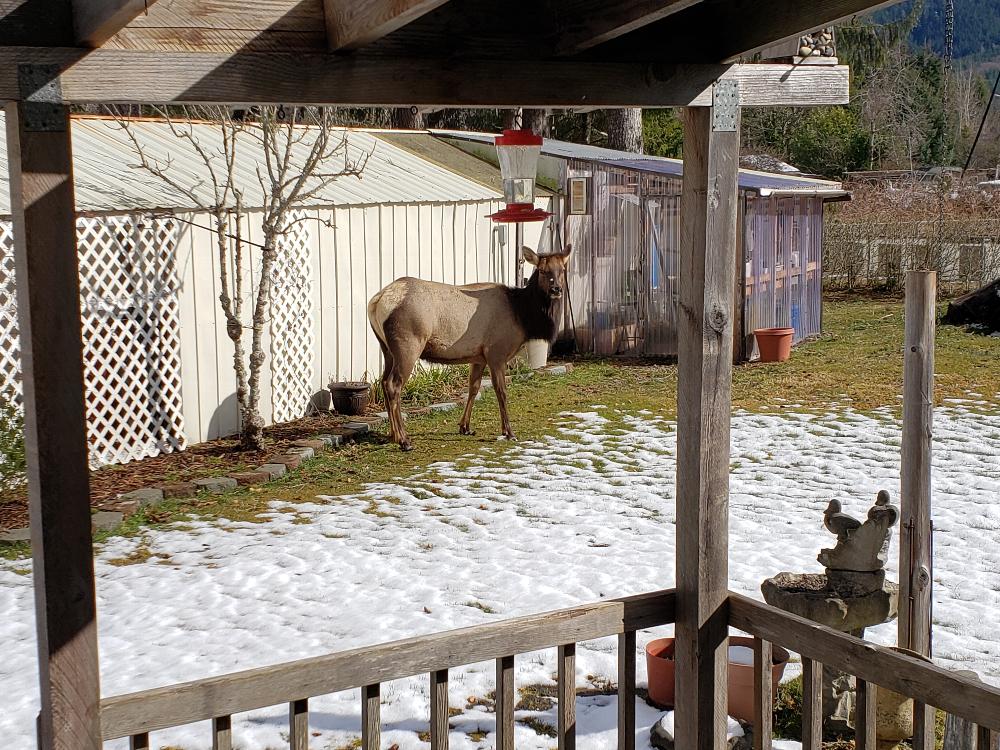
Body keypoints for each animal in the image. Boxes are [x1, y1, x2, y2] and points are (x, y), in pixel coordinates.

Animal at [368, 245, 572, 452]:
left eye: (562, 269)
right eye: (542, 271)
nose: (556, 289)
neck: (523, 316)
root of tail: (377, 301)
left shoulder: (478, 356)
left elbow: (473, 387)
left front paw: (465, 427)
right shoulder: (496, 352)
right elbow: (502, 391)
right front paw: (508, 432)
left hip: (386, 348)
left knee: (383, 382)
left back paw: (393, 435)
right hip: (408, 344)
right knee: (394, 385)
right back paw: (404, 440)